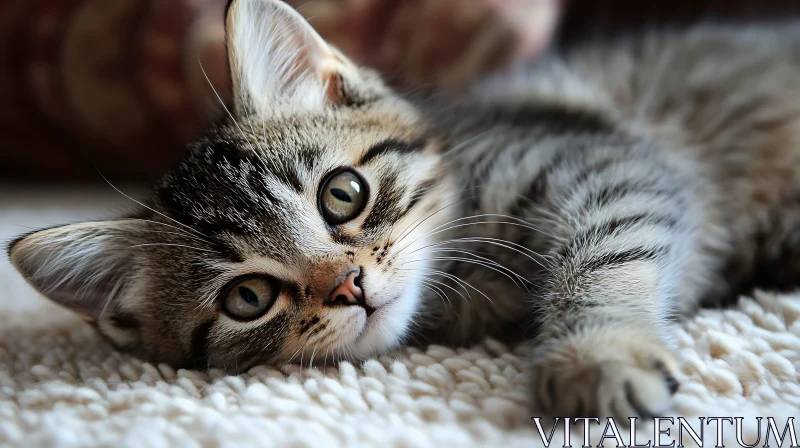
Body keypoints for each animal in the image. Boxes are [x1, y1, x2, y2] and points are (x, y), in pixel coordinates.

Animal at [9, 0, 800, 420]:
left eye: (343, 194)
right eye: (248, 298)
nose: (348, 285)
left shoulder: (609, 165)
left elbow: (606, 258)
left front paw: (595, 356)